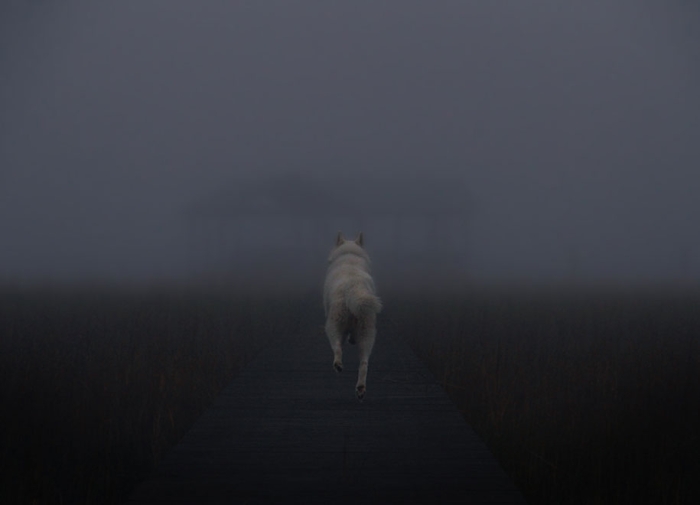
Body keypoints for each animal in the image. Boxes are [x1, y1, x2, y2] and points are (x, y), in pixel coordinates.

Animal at [323, 231, 382, 400]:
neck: (349, 255)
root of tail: (353, 287)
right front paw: (352, 339)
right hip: (367, 334)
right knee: (364, 364)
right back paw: (360, 388)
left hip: (332, 326)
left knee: (337, 347)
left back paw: (338, 365)